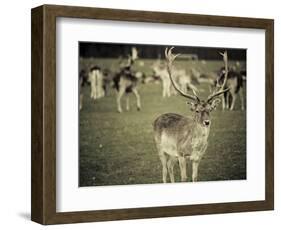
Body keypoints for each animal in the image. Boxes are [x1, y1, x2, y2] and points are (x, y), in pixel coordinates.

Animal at [153, 48, 228, 183]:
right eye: (197, 111)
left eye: (210, 110)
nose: (207, 122)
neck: (195, 147)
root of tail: (156, 119)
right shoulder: (181, 154)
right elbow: (184, 178)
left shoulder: (198, 158)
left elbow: (195, 178)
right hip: (160, 148)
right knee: (164, 170)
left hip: (172, 153)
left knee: (170, 167)